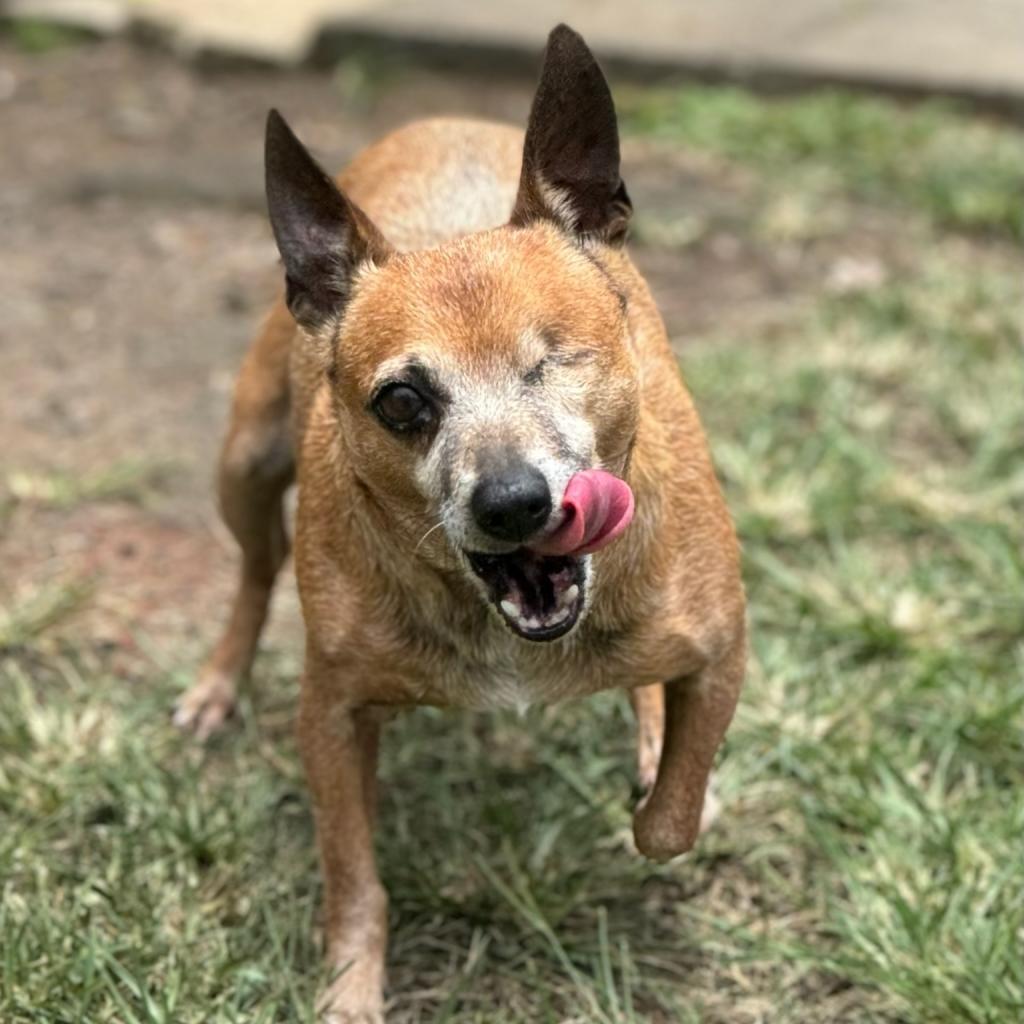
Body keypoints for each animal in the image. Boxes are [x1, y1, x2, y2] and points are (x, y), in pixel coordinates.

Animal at [174, 24, 745, 1024]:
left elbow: (670, 821)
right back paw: (217, 686)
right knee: (254, 569)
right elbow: (353, 878)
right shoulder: (330, 716)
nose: (513, 501)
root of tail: (440, 121)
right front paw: (351, 987)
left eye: (556, 361)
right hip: (244, 463)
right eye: (403, 402)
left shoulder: (722, 654)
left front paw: (665, 779)